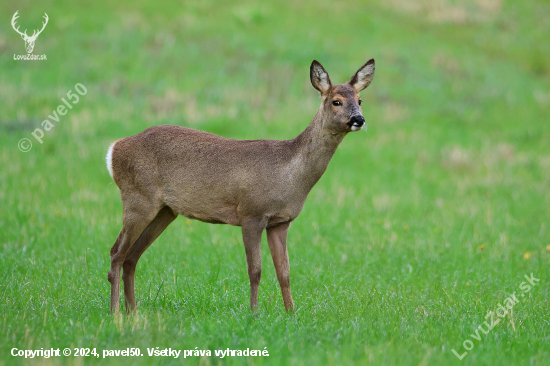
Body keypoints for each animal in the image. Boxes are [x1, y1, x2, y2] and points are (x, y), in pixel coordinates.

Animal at [106, 58, 378, 314]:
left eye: (360, 100)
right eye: (336, 101)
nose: (359, 119)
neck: (289, 173)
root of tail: (114, 149)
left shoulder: (280, 222)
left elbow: (285, 272)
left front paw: (291, 314)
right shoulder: (251, 213)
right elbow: (255, 270)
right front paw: (254, 313)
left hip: (165, 210)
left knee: (131, 257)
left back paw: (133, 312)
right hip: (138, 198)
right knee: (116, 252)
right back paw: (116, 313)